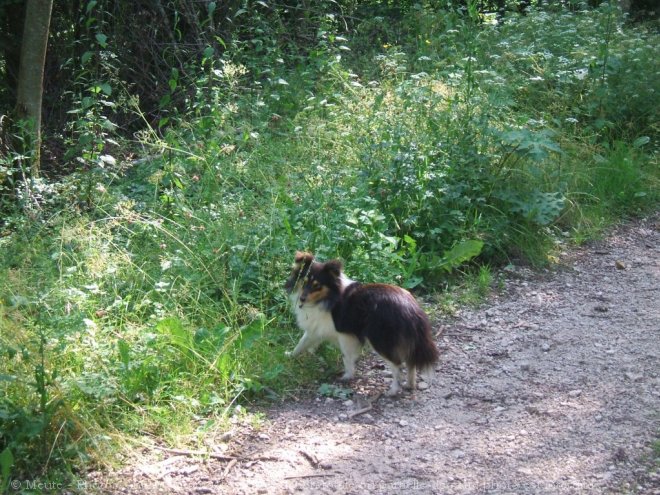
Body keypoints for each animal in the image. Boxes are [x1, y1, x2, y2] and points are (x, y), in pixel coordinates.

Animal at [284, 252, 438, 396]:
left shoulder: (345, 335)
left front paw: (347, 376)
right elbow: (302, 343)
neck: (328, 297)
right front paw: (290, 355)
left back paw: (393, 391)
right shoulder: (316, 329)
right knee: (411, 363)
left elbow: (346, 357)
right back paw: (409, 385)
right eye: (304, 281)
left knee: (397, 364)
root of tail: (411, 309)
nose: (302, 299)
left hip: (379, 340)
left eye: (317, 286)